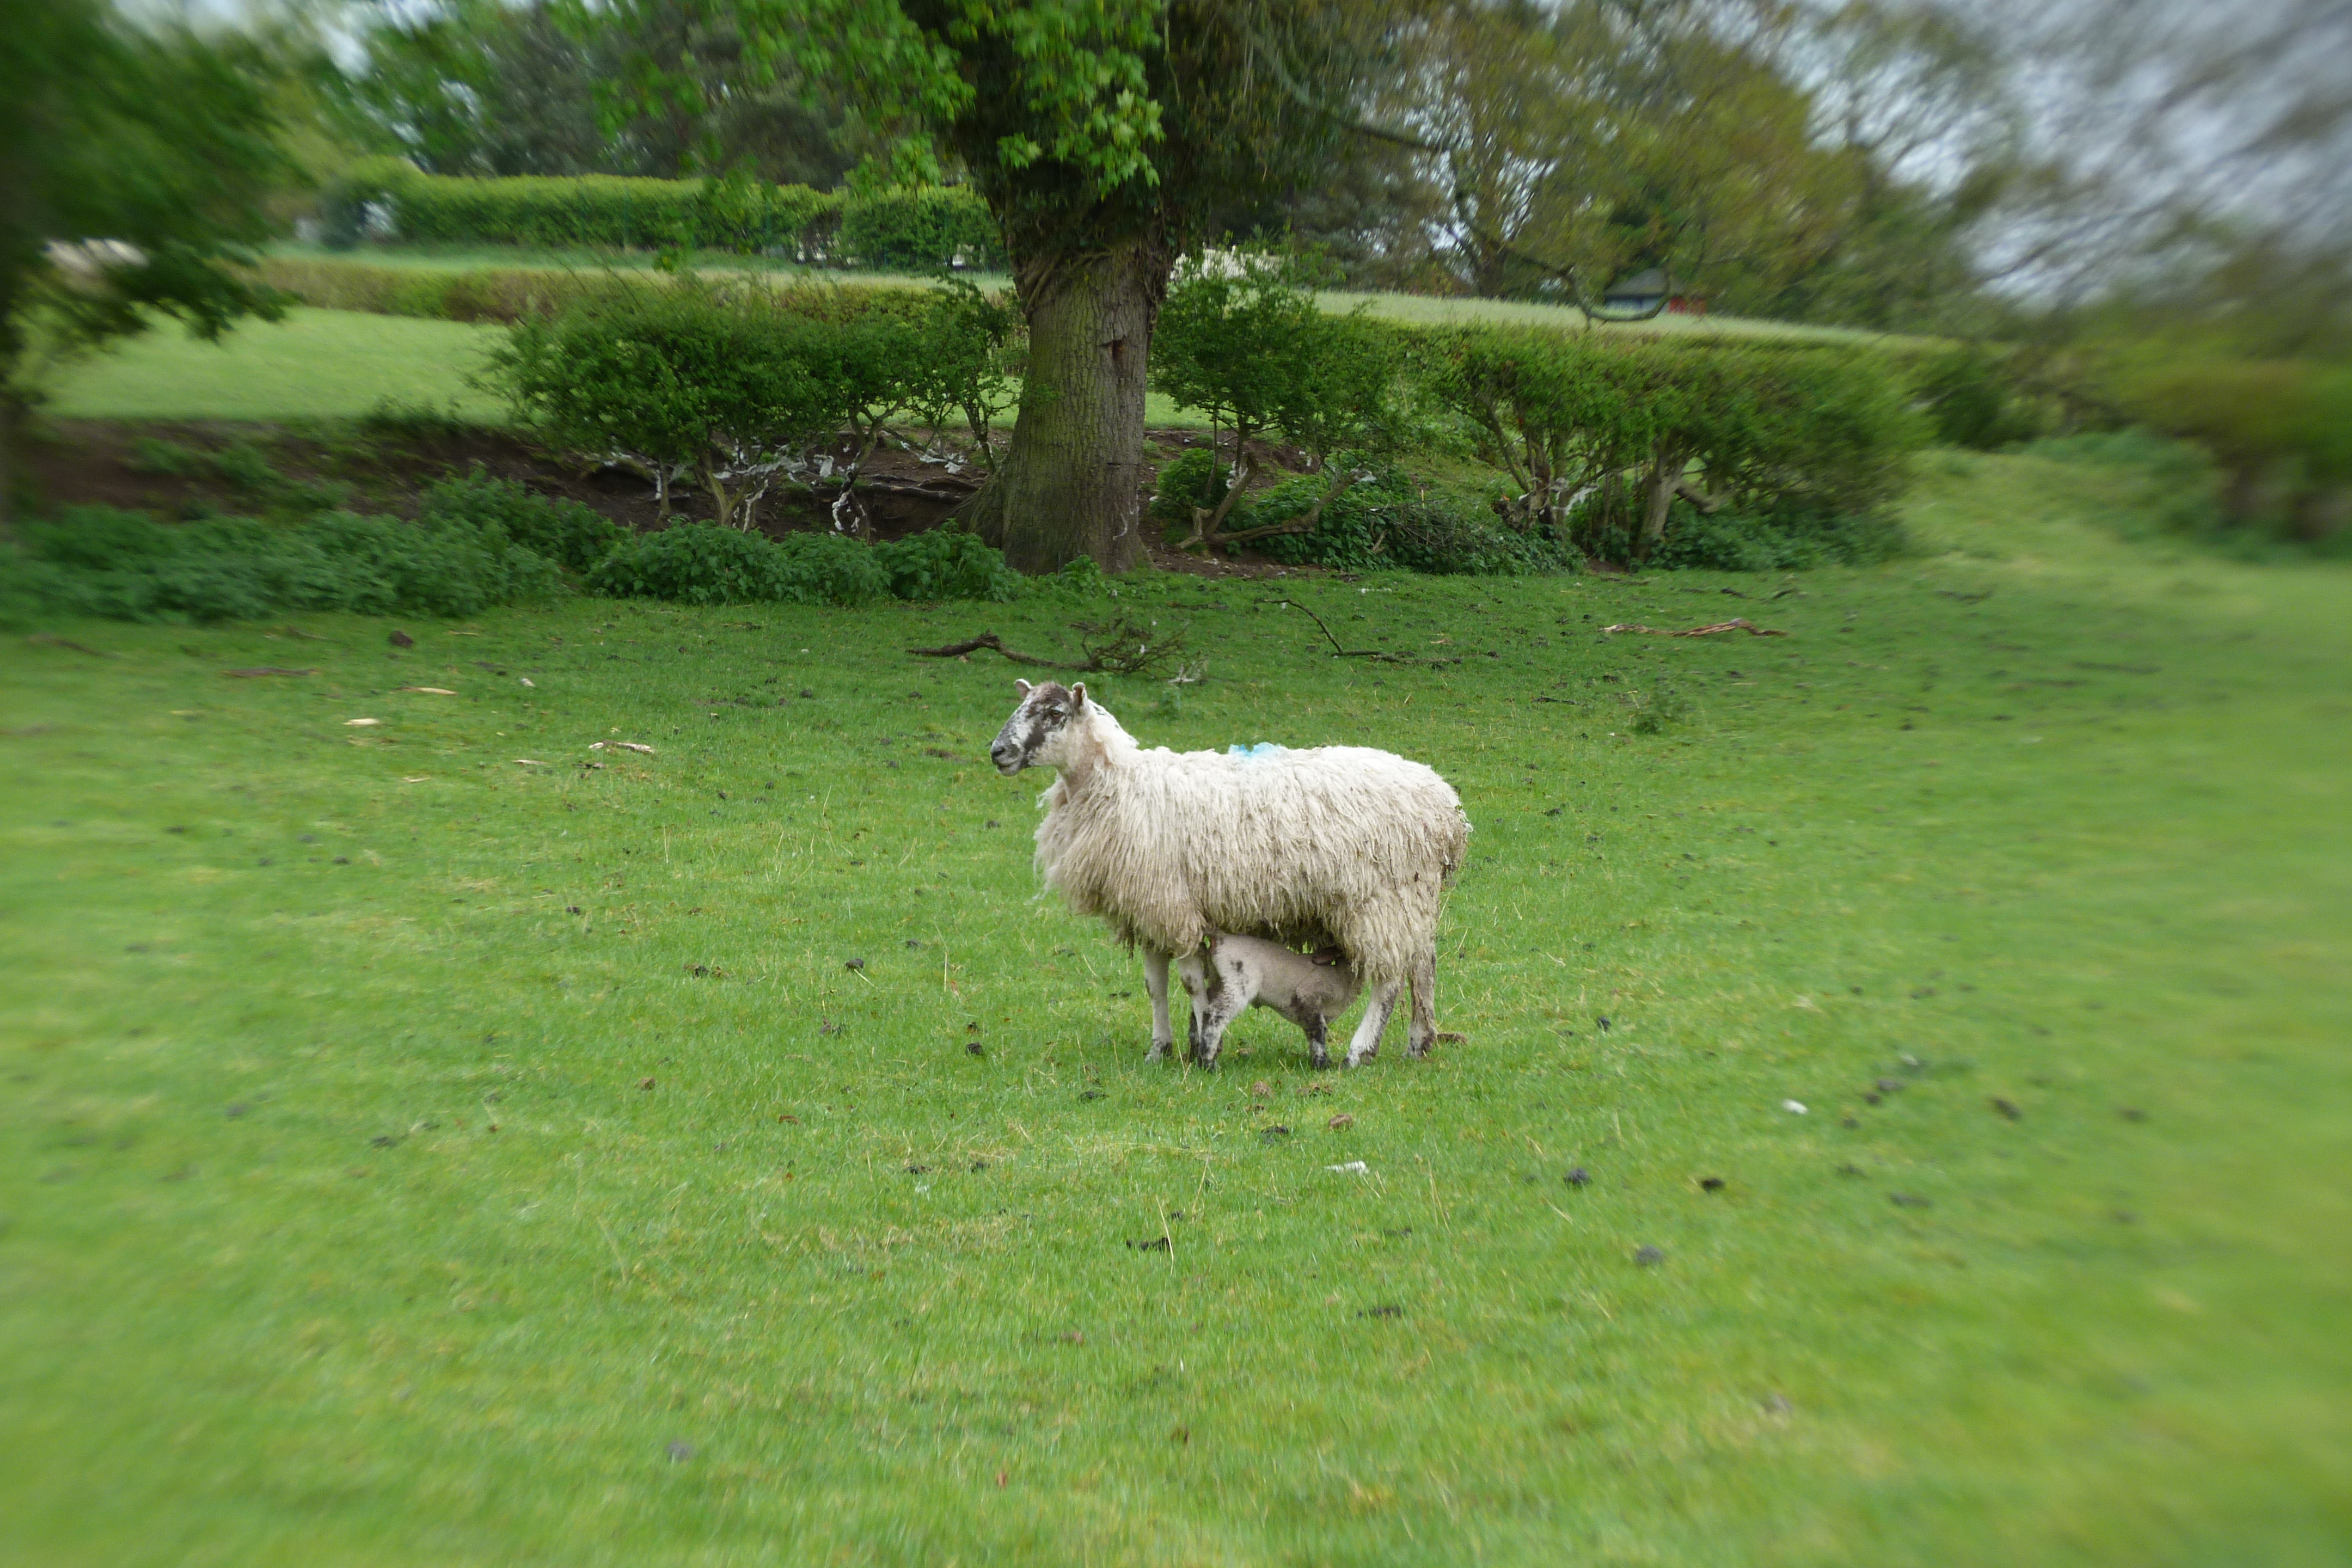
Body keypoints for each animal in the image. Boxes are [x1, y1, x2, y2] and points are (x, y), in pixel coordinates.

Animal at [1176, 933, 1361, 1070]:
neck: (1340, 976)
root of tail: (1220, 938)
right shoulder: (1308, 995)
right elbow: (1318, 1031)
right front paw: (1322, 1065)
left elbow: (1312, 1032)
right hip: (1239, 982)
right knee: (1214, 1014)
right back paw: (1208, 1063)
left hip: (1218, 980)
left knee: (1198, 1012)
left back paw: (1194, 1054)